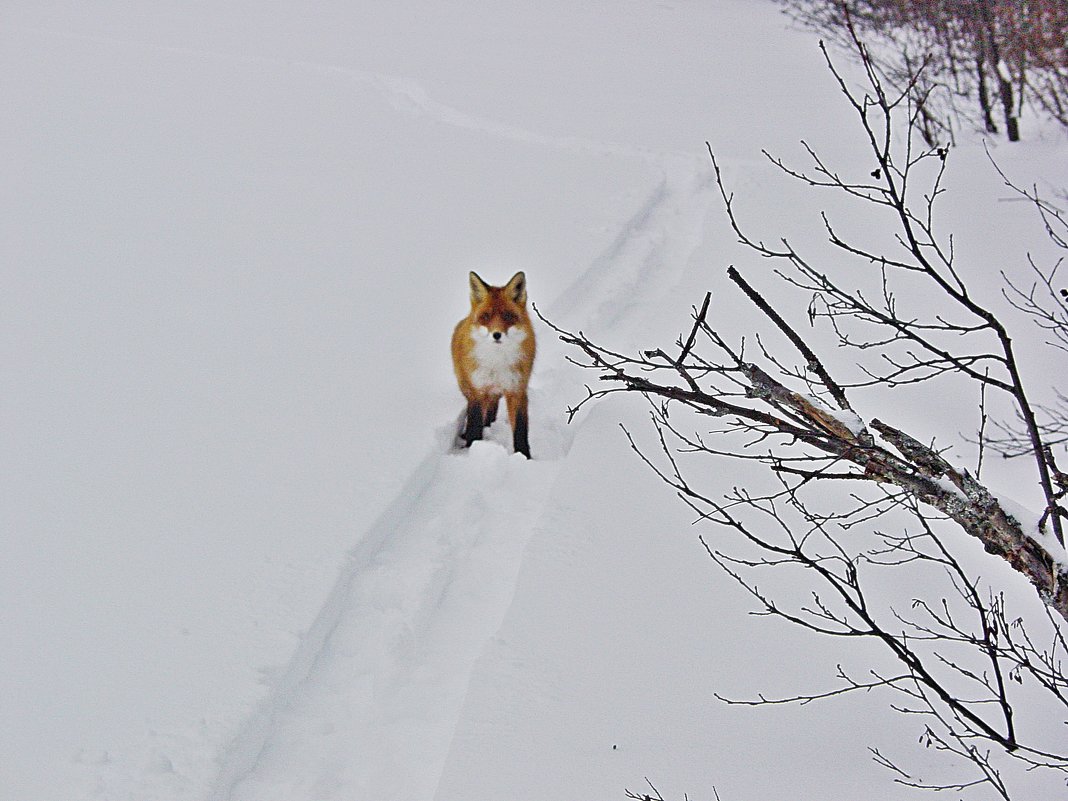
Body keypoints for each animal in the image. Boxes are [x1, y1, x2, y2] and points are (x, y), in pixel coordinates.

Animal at [448, 271, 534, 457]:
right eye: (486, 317)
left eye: (508, 316)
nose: (496, 335)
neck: (497, 362)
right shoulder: (477, 391)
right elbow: (474, 425)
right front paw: (472, 449)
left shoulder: (517, 389)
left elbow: (520, 429)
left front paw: (523, 456)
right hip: (468, 387)